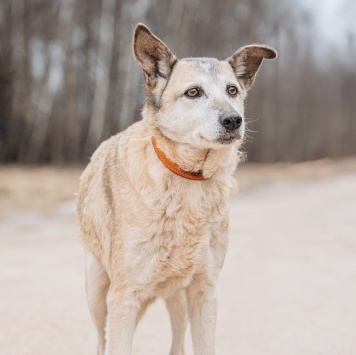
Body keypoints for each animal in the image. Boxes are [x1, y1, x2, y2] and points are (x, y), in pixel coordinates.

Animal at [77, 23, 278, 354]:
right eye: (193, 92)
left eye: (232, 90)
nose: (234, 120)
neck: (188, 176)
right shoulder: (124, 296)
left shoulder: (204, 291)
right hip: (97, 293)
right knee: (98, 341)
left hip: (176, 295)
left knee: (177, 342)